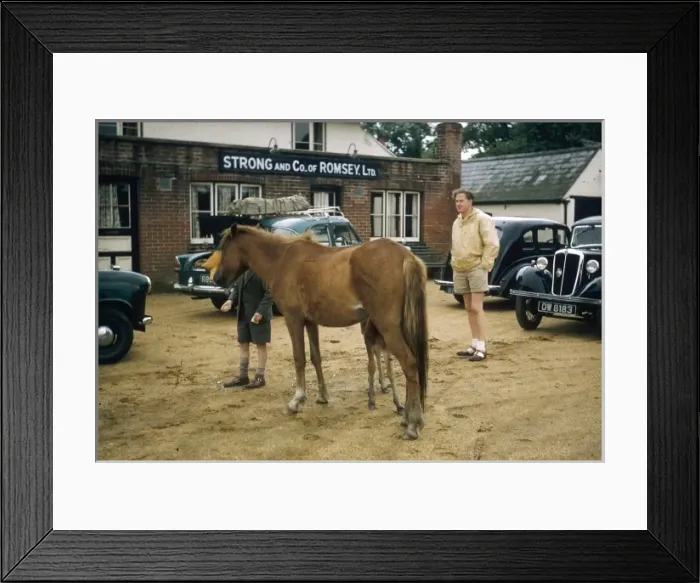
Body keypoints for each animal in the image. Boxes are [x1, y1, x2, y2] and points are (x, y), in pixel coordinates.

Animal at [210, 223, 429, 440]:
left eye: (224, 248)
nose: (217, 278)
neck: (282, 260)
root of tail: (406, 256)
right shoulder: (310, 322)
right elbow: (316, 358)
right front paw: (322, 396)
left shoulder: (294, 319)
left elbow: (299, 358)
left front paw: (297, 401)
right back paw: (406, 417)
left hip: (388, 327)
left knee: (409, 364)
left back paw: (412, 424)